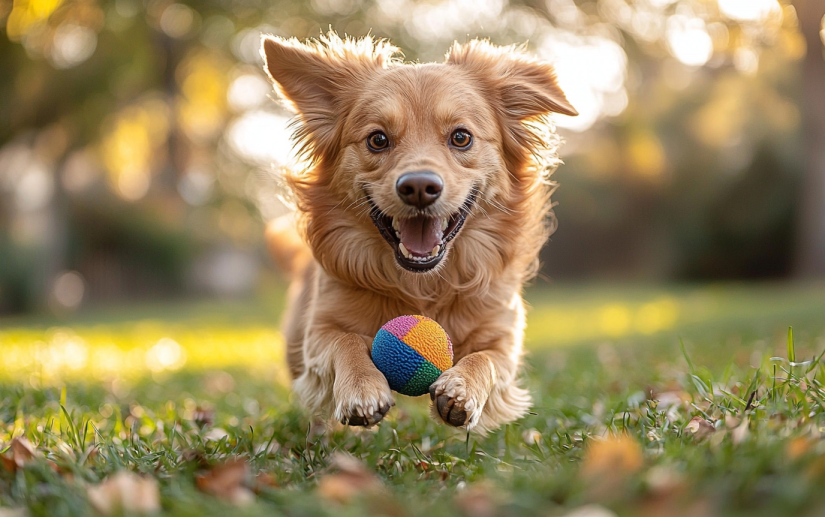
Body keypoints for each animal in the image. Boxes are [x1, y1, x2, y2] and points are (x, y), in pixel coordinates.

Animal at [260, 32, 576, 434]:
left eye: (461, 137)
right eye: (378, 139)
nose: (419, 187)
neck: (423, 287)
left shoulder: (502, 336)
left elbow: (487, 359)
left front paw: (462, 388)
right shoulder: (320, 331)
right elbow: (344, 341)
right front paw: (361, 387)